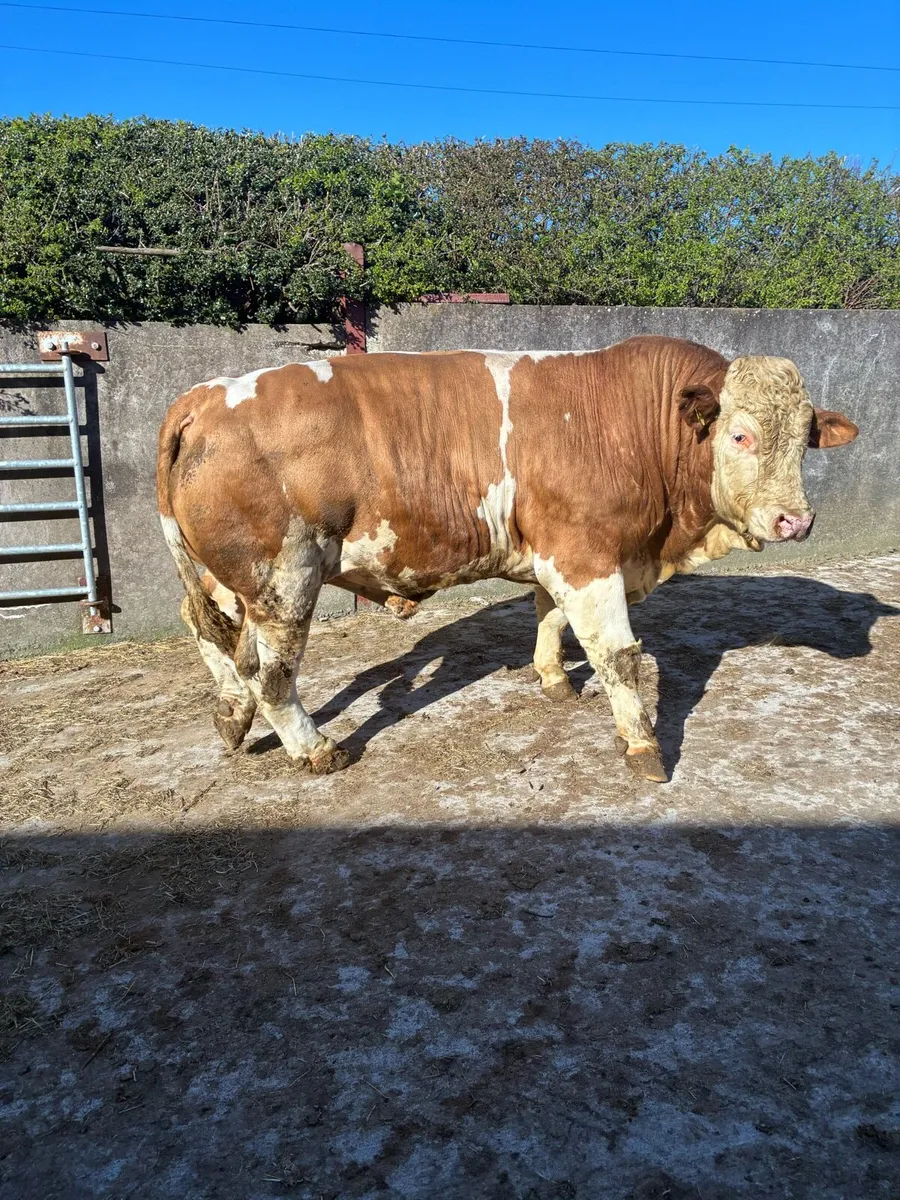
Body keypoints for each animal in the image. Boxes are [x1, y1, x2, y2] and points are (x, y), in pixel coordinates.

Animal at [157, 335, 858, 782]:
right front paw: (642, 746)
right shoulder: (587, 554)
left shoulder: (555, 551)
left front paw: (551, 676)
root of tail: (205, 395)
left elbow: (547, 614)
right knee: (270, 671)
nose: (796, 520)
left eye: (805, 439)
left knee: (211, 632)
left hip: (236, 577)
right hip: (284, 575)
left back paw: (232, 715)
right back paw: (314, 749)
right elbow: (620, 657)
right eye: (740, 435)